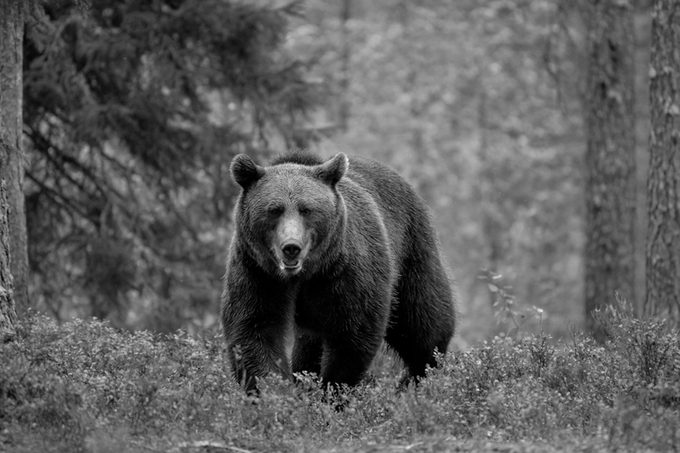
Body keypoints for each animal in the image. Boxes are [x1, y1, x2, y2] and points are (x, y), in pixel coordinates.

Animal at [221, 151, 456, 394]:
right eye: (274, 210)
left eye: (306, 209)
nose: (291, 247)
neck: (305, 274)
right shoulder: (257, 271)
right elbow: (255, 329)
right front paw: (276, 390)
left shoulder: (346, 272)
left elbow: (352, 334)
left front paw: (332, 390)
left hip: (412, 251)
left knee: (423, 325)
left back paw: (416, 381)